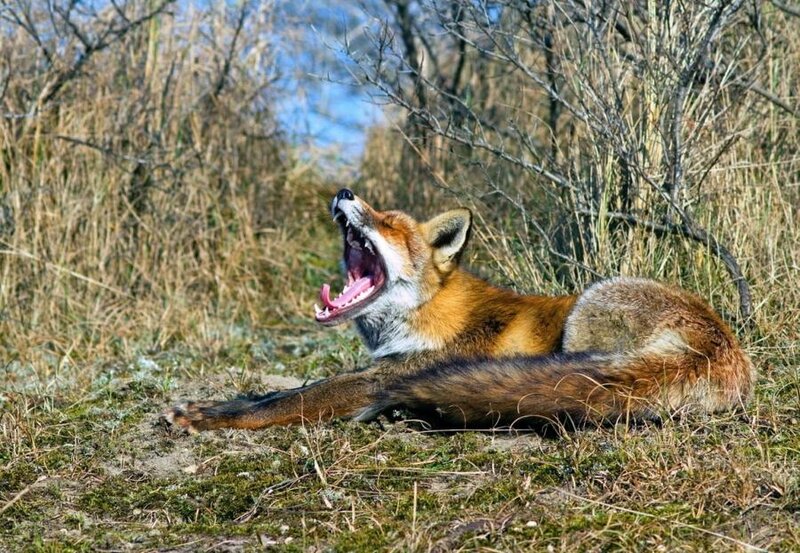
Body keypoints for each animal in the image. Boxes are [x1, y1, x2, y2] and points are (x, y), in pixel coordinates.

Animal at [164, 188, 755, 432]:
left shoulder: (388, 374)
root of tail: (717, 346)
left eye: (391, 224)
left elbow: (292, 399)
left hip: (589, 306)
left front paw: (216, 417)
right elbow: (281, 390)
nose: (344, 190)